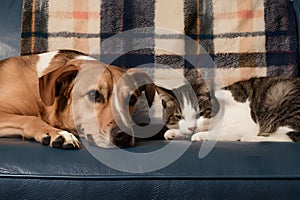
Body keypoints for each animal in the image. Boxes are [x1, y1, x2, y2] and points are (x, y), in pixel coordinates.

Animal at [156, 76, 300, 142]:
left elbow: (217, 132)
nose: (192, 127)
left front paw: (199, 135)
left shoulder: (242, 125)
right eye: (178, 116)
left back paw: (250, 138)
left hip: (280, 96)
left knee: (288, 138)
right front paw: (174, 132)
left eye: (200, 113)